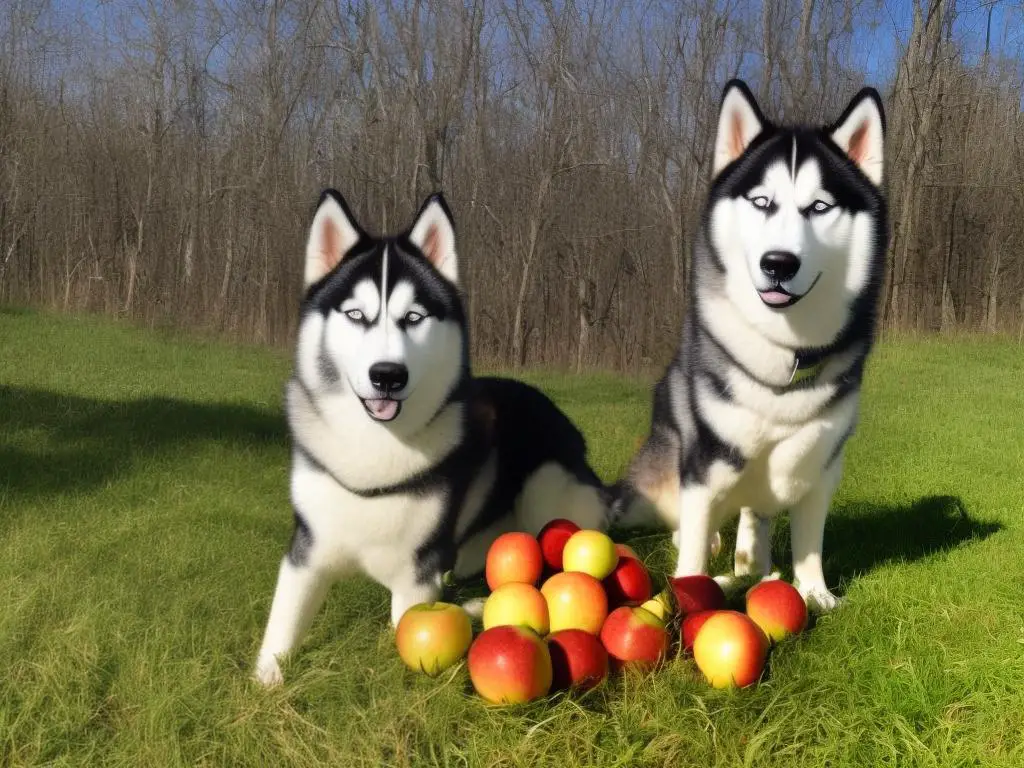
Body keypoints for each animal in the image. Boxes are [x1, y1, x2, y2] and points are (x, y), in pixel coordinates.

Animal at [256, 191, 606, 684]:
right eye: (356, 315)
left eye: (413, 317)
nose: (387, 375)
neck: (377, 446)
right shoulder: (306, 552)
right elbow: (284, 620)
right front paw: (265, 678)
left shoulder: (416, 577)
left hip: (548, 486)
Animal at [614, 79, 888, 614]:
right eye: (762, 202)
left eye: (819, 207)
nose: (778, 263)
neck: (785, 352)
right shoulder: (703, 466)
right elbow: (694, 547)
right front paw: (688, 598)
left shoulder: (821, 467)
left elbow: (808, 542)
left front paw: (816, 594)